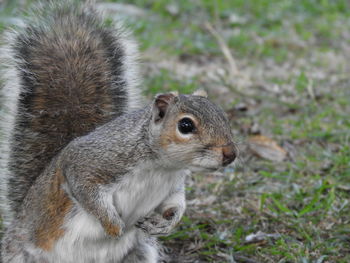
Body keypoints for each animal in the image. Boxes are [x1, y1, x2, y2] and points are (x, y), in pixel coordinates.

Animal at [0, 1, 237, 262]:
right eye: (185, 126)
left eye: (223, 115)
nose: (230, 154)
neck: (161, 167)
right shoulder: (89, 162)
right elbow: (86, 190)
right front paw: (113, 226)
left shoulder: (174, 183)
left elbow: (176, 203)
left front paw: (166, 223)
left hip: (138, 254)